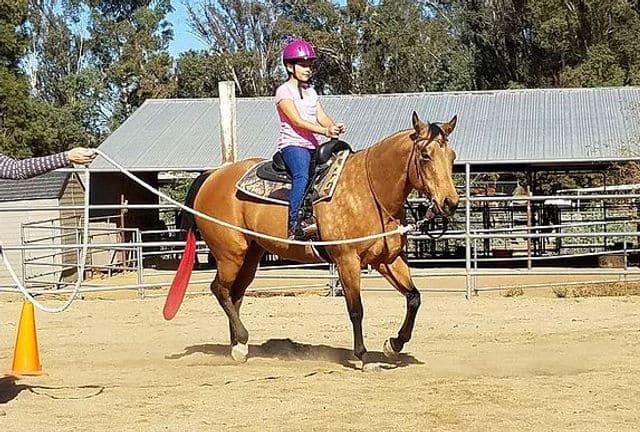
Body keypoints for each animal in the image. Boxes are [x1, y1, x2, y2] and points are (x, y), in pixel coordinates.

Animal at [168, 109, 458, 366]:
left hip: (250, 255)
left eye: (452, 156)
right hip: (230, 254)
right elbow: (356, 309)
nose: (450, 202)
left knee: (234, 294)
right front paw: (362, 356)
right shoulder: (347, 260)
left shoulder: (388, 260)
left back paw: (238, 347)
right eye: (425, 155)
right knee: (220, 289)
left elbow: (414, 298)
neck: (369, 189)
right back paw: (241, 340)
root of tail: (213, 175)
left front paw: (393, 345)